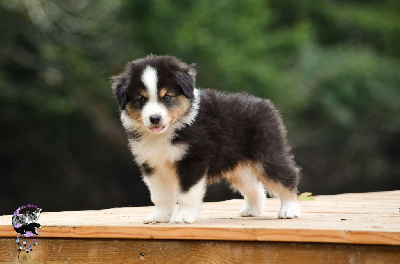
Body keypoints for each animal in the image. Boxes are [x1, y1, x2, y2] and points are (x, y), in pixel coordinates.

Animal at [111, 54, 302, 224]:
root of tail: (264, 104)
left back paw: (289, 210)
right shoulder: (153, 164)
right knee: (254, 187)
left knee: (287, 176)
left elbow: (186, 194)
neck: (166, 133)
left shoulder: (193, 160)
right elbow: (160, 195)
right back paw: (252, 210)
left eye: (167, 97)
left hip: (267, 154)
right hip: (237, 167)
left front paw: (183, 217)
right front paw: (160, 216)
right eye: (141, 99)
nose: (155, 118)